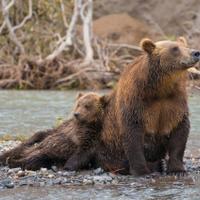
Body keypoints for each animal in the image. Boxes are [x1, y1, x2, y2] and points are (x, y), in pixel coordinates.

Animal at [97, 37, 200, 175]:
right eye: (175, 48)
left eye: (185, 46)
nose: (195, 53)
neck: (160, 88)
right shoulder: (136, 101)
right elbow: (132, 134)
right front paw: (141, 170)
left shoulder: (175, 102)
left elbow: (179, 130)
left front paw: (177, 169)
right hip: (108, 148)